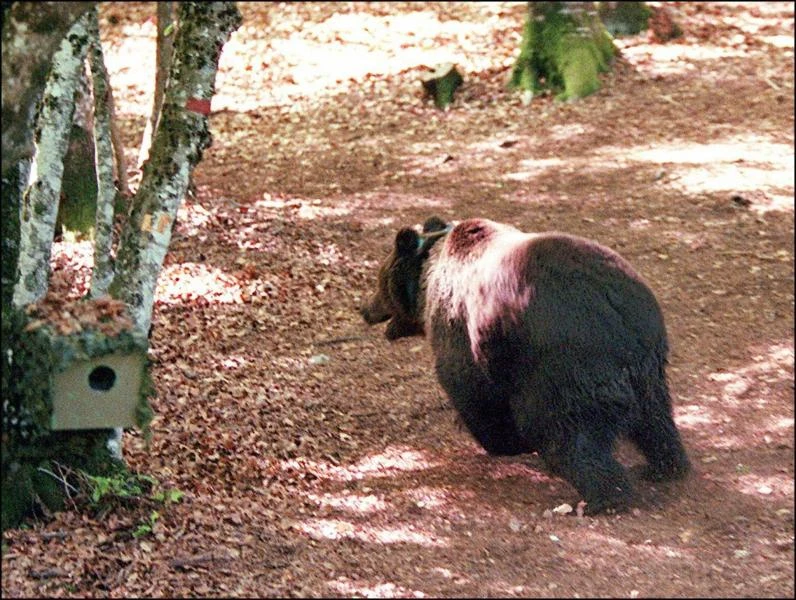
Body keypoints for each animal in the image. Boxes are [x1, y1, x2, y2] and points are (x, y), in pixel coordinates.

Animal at [360, 216, 690, 514]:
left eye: (379, 281)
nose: (364, 309)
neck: (427, 282)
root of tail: (616, 307)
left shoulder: (461, 326)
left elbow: (470, 388)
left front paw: (500, 441)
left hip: (563, 360)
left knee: (565, 431)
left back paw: (604, 498)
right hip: (646, 362)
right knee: (655, 417)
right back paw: (665, 466)